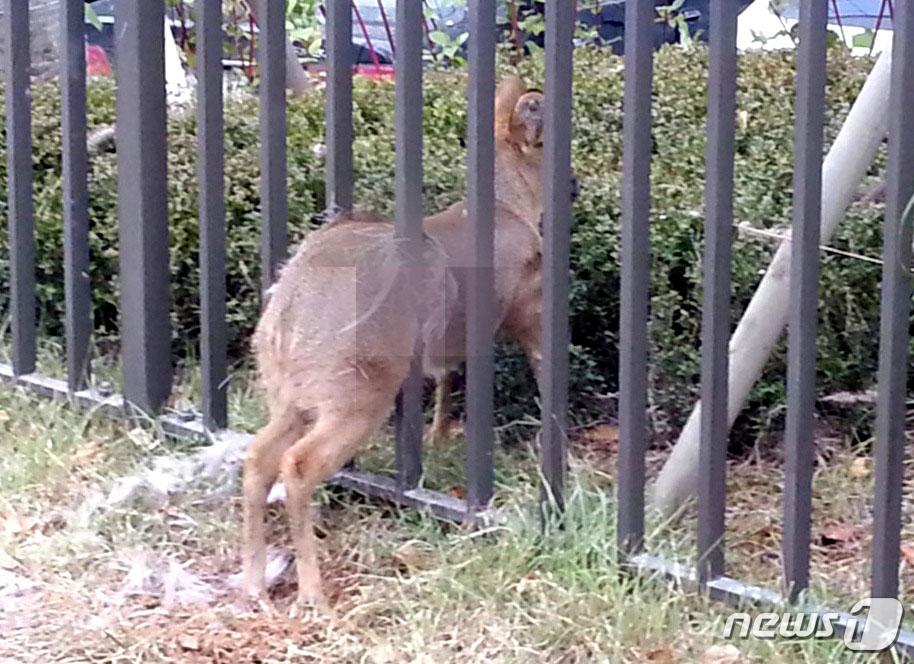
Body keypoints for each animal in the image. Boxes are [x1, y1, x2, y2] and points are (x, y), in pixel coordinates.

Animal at [239, 75, 572, 616]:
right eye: (549, 149)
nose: (575, 185)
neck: (506, 207)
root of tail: (290, 307)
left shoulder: (450, 339)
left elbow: (448, 376)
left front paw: (438, 437)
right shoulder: (521, 312)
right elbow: (534, 370)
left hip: (288, 390)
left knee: (257, 457)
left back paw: (253, 581)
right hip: (356, 392)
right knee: (299, 465)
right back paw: (313, 592)